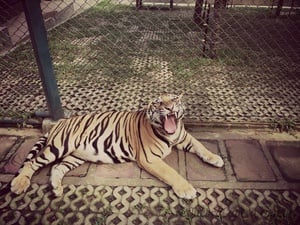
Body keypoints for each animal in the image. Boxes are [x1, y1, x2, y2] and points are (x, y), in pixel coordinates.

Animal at [9, 94, 223, 200]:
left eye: (175, 100)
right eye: (158, 102)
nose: (170, 108)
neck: (170, 133)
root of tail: (59, 122)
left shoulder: (184, 137)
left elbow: (201, 146)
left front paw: (216, 158)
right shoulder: (150, 158)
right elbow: (171, 172)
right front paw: (186, 189)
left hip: (74, 156)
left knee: (57, 168)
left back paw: (56, 188)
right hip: (60, 146)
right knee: (32, 163)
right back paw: (19, 184)